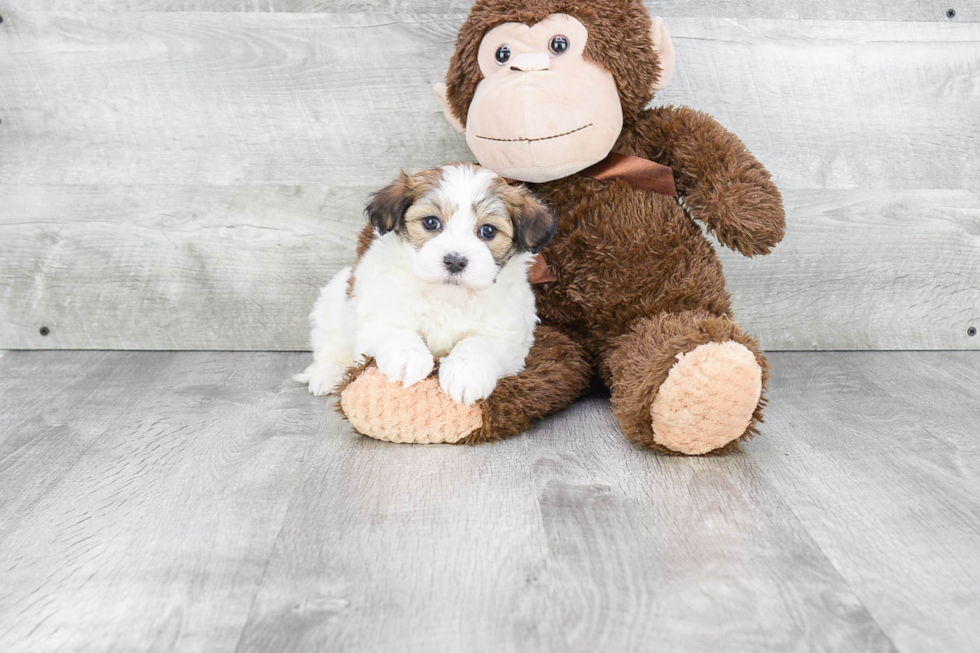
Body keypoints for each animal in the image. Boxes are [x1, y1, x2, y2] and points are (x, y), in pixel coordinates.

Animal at [296, 163, 560, 404]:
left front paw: (466, 374)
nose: (455, 261)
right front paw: (407, 359)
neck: (447, 297)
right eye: (431, 223)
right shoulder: (379, 314)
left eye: (488, 231)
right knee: (330, 346)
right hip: (333, 304)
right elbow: (397, 331)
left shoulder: (507, 336)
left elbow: (478, 344)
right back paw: (327, 375)